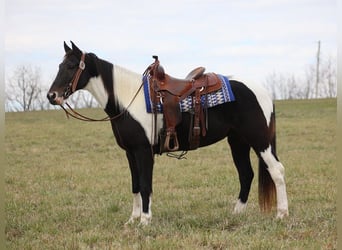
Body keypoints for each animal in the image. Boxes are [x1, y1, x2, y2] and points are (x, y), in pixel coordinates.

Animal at [47, 41, 288, 225]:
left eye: (71, 66)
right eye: (59, 65)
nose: (51, 96)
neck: (127, 100)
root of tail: (264, 92)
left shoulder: (143, 151)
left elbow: (146, 185)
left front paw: (145, 221)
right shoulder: (130, 152)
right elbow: (135, 185)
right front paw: (132, 220)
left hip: (260, 140)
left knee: (276, 170)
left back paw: (281, 215)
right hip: (238, 142)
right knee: (246, 174)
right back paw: (235, 214)